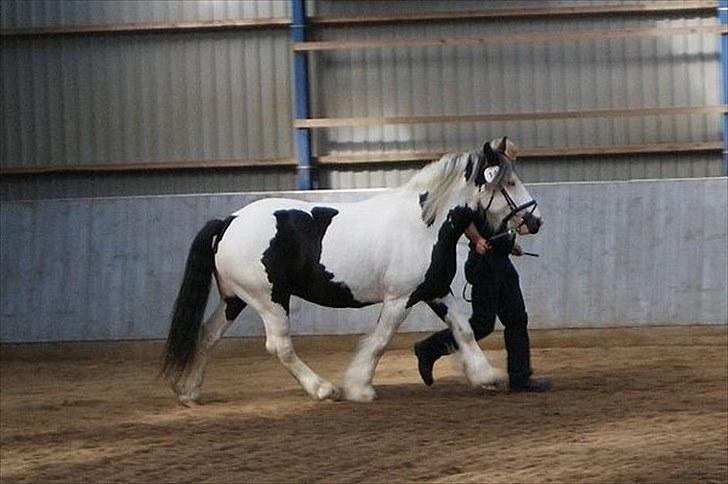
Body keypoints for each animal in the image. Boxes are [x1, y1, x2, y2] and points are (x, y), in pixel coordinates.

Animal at [164, 137, 540, 404]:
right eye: (509, 182)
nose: (535, 220)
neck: (425, 225)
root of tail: (229, 221)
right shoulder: (400, 299)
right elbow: (380, 340)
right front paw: (360, 387)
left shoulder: (435, 292)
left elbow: (463, 330)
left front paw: (486, 376)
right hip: (270, 300)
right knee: (279, 346)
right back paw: (323, 389)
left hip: (236, 299)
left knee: (207, 335)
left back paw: (189, 392)